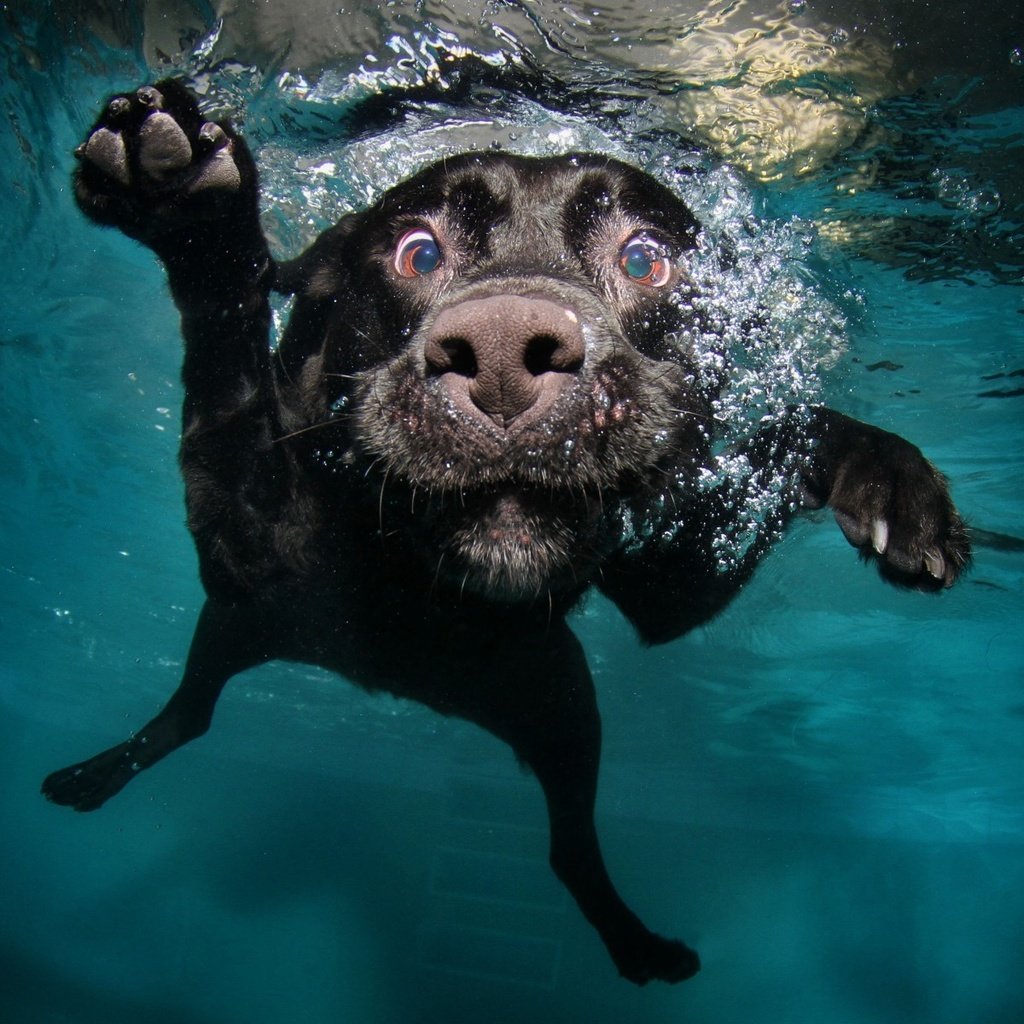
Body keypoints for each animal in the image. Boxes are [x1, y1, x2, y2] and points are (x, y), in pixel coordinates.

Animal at [39, 77, 966, 983]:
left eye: (644, 258)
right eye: (418, 252)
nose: (501, 353)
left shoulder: (672, 582)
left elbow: (790, 433)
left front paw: (891, 478)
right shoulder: (249, 540)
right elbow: (226, 376)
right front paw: (191, 206)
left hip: (561, 706)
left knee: (568, 849)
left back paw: (637, 945)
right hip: (239, 626)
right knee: (191, 714)